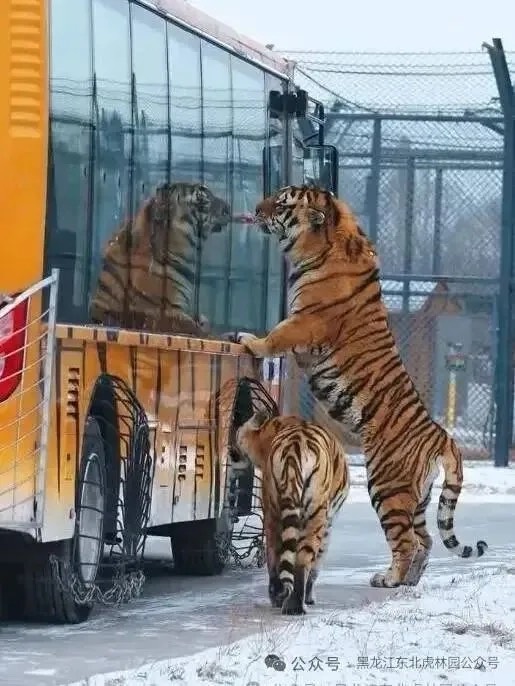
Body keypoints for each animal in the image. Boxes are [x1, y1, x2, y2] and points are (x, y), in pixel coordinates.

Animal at [234, 410, 349, 615]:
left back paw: (283, 599)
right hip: (310, 516)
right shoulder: (328, 525)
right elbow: (316, 565)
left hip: (275, 511)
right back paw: (293, 604)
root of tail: (294, 451)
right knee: (299, 560)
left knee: (279, 557)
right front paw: (310, 597)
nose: (231, 452)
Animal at [237, 184, 487, 589]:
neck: (325, 243)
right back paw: (409, 580)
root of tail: (444, 437)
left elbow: (276, 335)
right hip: (417, 497)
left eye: (282, 202)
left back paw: (389, 579)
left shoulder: (305, 322)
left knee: (407, 541)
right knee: (426, 539)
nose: (257, 209)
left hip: (387, 485)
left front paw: (249, 340)